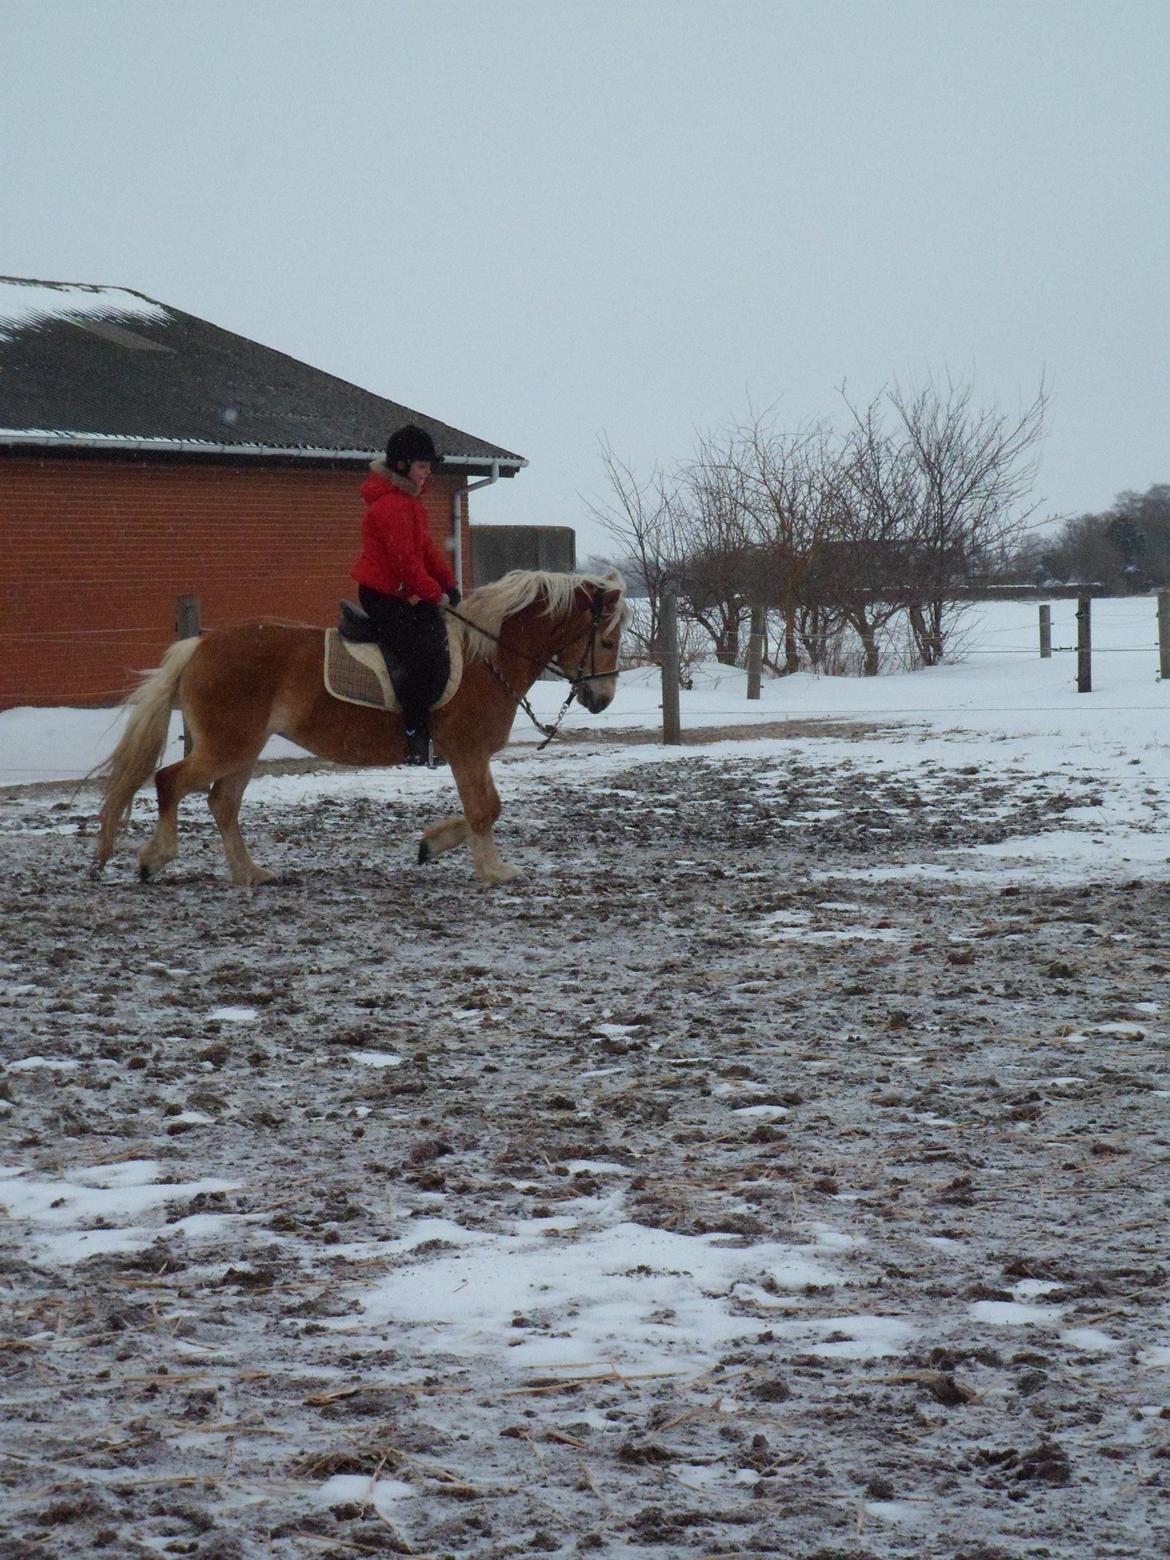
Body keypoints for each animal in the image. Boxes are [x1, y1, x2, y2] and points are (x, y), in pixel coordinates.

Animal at [92, 570, 633, 892]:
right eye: (607, 641)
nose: (602, 700)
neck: (488, 656)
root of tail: (200, 647)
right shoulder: (467, 751)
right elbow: (485, 809)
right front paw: (493, 869)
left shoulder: (468, 754)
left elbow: (487, 809)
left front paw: (432, 844)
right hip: (229, 744)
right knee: (170, 782)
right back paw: (156, 858)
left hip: (245, 747)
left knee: (222, 803)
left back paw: (250, 872)